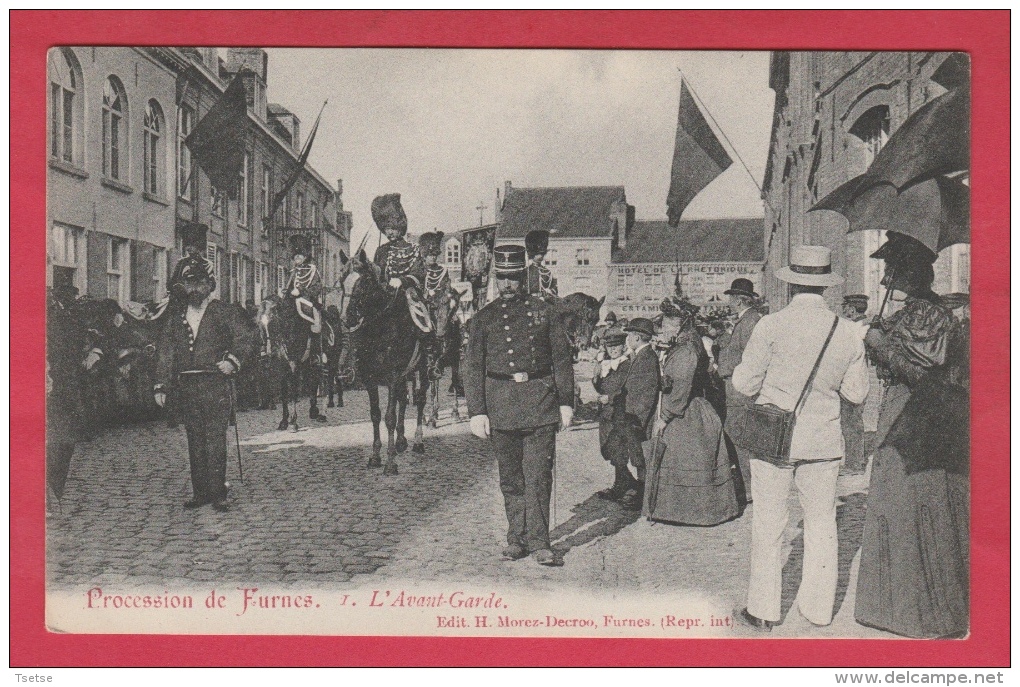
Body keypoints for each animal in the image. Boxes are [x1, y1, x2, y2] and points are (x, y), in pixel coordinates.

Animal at [342, 249, 430, 470]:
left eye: (364, 281)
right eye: (341, 280)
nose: (347, 318)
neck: (379, 328)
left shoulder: (392, 376)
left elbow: (389, 416)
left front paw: (390, 462)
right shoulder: (370, 378)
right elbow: (376, 414)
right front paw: (375, 456)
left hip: (423, 368)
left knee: (420, 399)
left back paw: (417, 441)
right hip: (405, 374)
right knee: (403, 399)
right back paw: (401, 441)